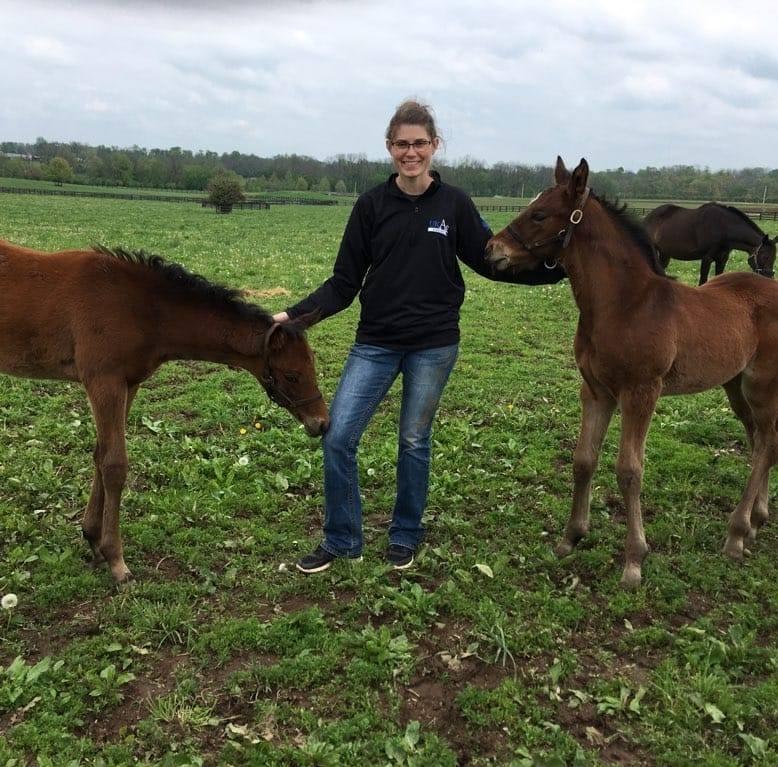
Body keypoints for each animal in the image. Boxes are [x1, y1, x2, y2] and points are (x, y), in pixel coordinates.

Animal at [640, 202, 772, 286]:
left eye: (774, 257)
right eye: (764, 256)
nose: (769, 278)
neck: (723, 228)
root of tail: (647, 217)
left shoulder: (722, 260)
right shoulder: (707, 258)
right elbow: (703, 281)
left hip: (665, 253)